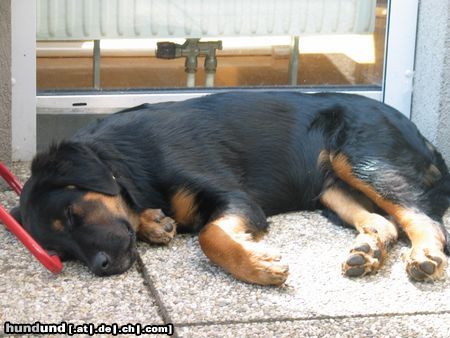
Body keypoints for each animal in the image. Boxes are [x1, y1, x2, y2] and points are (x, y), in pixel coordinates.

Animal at [13, 91, 450, 284]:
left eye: (72, 214)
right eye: (60, 253)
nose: (101, 267)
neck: (126, 161)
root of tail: (420, 134)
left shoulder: (235, 198)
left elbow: (210, 236)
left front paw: (260, 267)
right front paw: (155, 222)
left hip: (362, 160)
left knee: (423, 219)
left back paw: (425, 256)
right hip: (332, 188)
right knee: (384, 223)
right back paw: (366, 253)